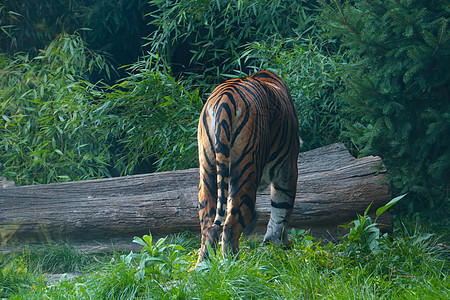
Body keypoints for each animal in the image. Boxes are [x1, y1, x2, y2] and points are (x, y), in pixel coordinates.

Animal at [193, 70, 298, 268]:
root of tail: (225, 98)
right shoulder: (288, 167)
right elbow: (282, 206)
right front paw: (277, 244)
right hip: (246, 168)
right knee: (230, 225)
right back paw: (236, 266)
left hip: (208, 169)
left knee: (209, 226)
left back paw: (201, 268)